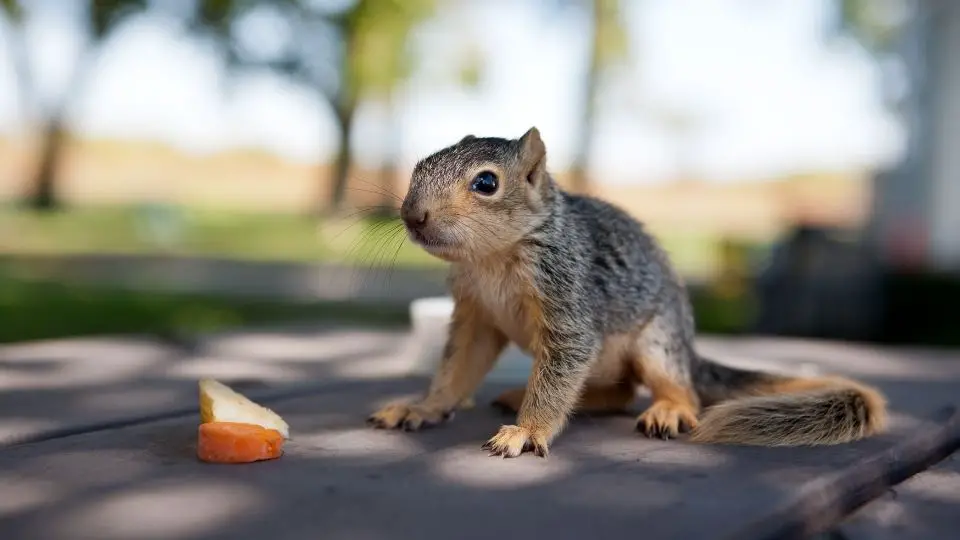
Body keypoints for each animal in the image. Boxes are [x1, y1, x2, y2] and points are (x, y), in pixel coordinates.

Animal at [366, 127, 884, 460]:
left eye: (487, 182)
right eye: (419, 166)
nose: (412, 215)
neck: (490, 258)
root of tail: (688, 348)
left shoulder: (568, 299)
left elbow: (561, 366)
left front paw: (528, 432)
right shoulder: (476, 314)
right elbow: (457, 370)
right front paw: (424, 406)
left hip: (657, 344)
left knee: (677, 390)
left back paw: (669, 409)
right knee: (617, 392)